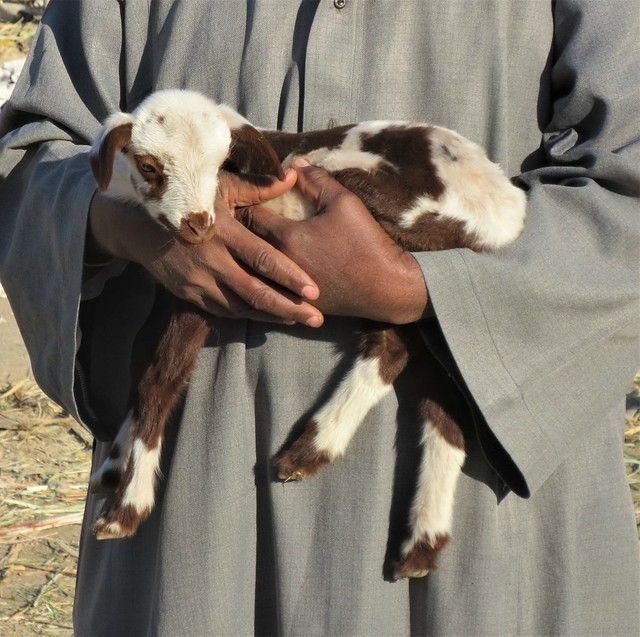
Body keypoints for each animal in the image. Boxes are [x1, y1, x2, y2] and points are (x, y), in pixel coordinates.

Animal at [87, 87, 524, 580]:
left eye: (220, 163)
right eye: (149, 166)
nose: (199, 223)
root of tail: (506, 208)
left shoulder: (205, 283)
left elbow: (162, 377)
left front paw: (126, 508)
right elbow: (148, 369)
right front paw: (115, 463)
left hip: (395, 252)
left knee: (393, 348)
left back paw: (309, 452)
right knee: (443, 399)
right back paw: (420, 544)